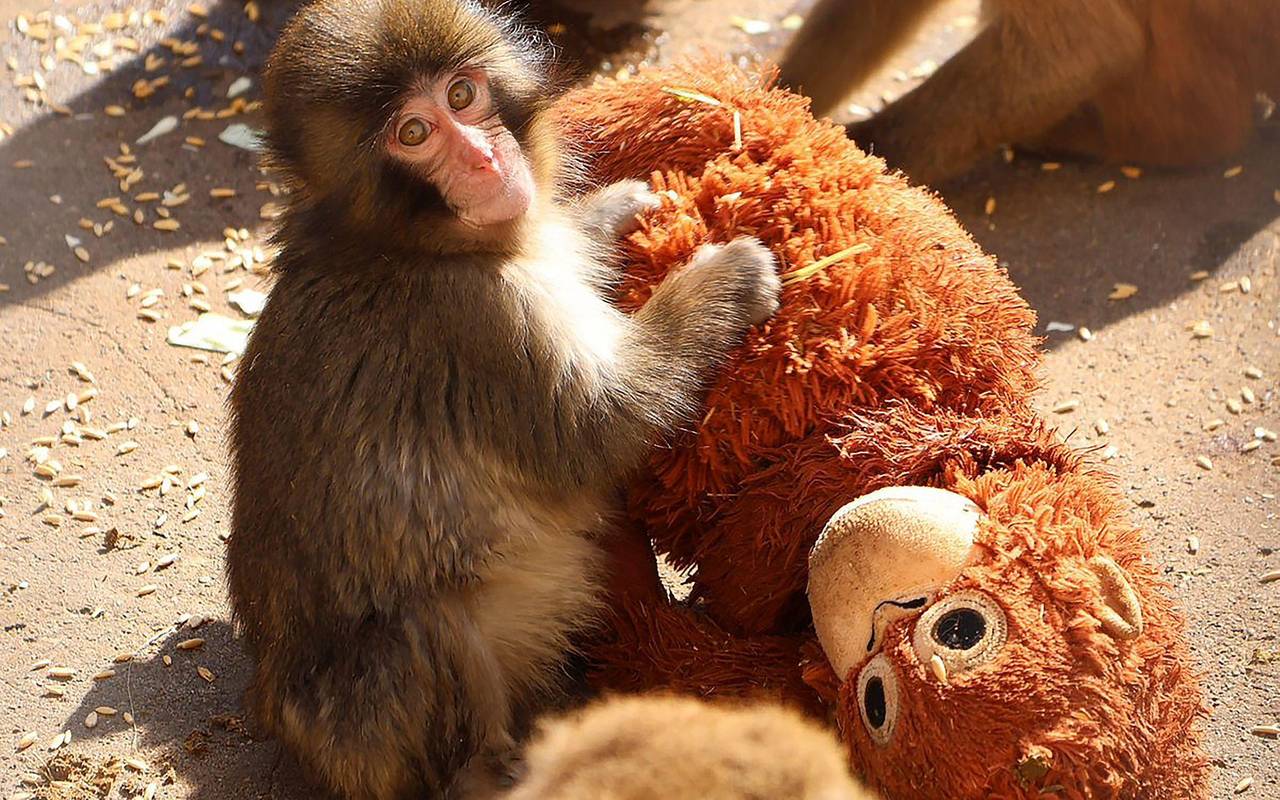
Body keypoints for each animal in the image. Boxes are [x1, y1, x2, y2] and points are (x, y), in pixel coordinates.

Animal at [224, 1, 781, 798]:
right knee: (422, 629)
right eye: (414, 134)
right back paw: (498, 767)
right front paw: (726, 280)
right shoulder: (478, 320)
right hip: (366, 729)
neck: (406, 243)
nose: (485, 161)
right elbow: (600, 427)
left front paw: (611, 209)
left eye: (462, 96)